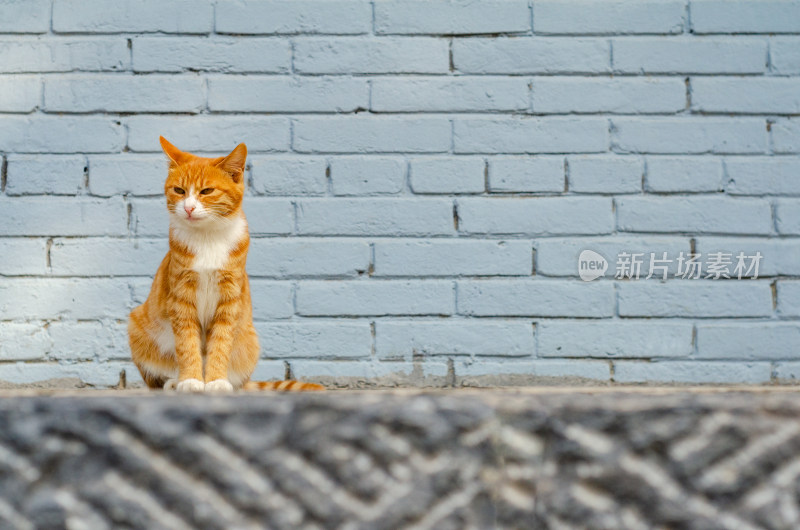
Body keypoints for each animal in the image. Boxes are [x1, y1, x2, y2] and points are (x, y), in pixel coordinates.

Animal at [128, 136, 322, 392]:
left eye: (206, 191)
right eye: (179, 190)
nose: (188, 207)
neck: (208, 238)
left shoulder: (229, 298)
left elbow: (220, 343)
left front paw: (216, 381)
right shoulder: (181, 298)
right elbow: (186, 344)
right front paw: (190, 380)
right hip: (137, 326)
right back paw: (173, 382)